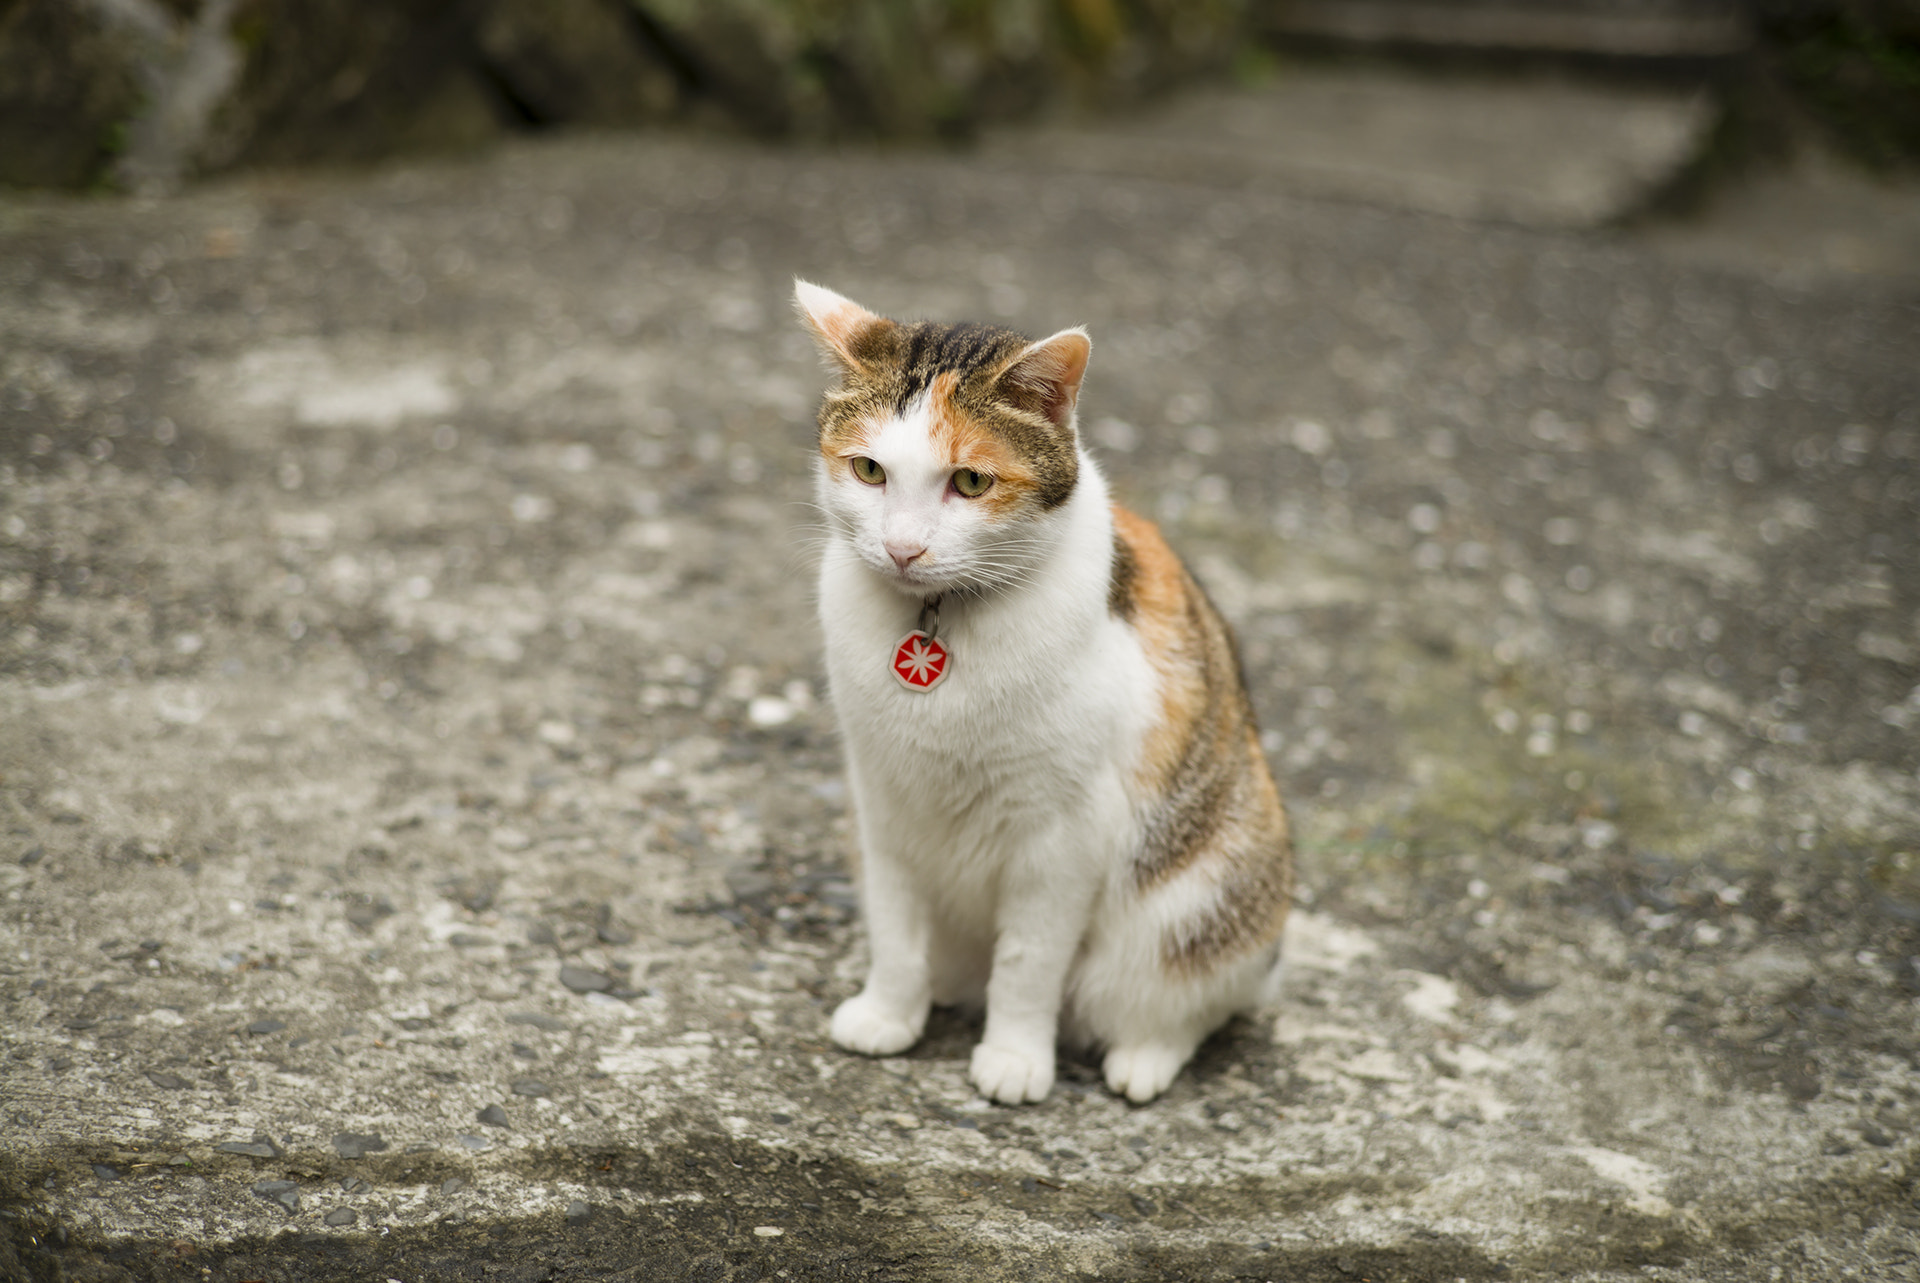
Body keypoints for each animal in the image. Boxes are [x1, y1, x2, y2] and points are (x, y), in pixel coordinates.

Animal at [794, 280, 1290, 1106]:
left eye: (969, 481)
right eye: (868, 470)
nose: (902, 548)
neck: (940, 621)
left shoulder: (1063, 835)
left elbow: (1027, 961)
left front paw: (1016, 1057)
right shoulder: (883, 801)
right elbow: (895, 931)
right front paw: (889, 1013)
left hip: (1208, 899)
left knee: (1186, 1002)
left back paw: (1140, 1060)